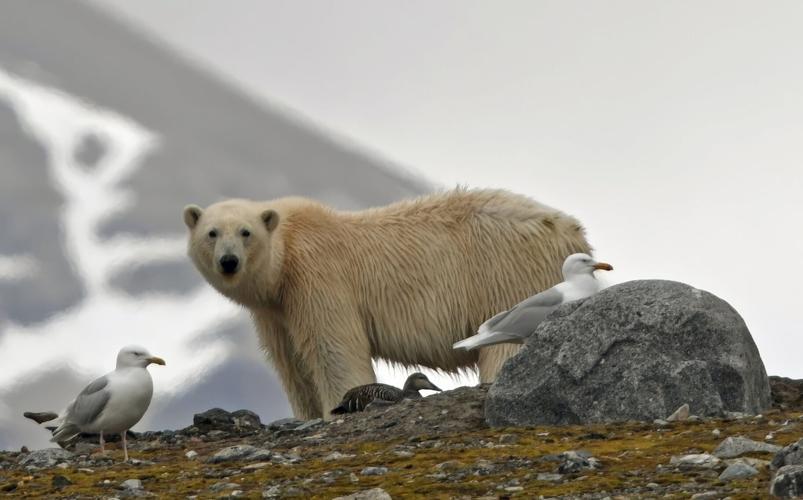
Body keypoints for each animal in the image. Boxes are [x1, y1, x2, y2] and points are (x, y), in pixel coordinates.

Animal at [182, 188, 592, 420]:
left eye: (245, 232)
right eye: (211, 233)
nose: (229, 262)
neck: (288, 251)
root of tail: (573, 232)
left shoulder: (319, 279)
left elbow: (334, 352)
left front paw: (338, 408)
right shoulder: (275, 310)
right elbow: (292, 366)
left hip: (510, 275)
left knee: (505, 344)